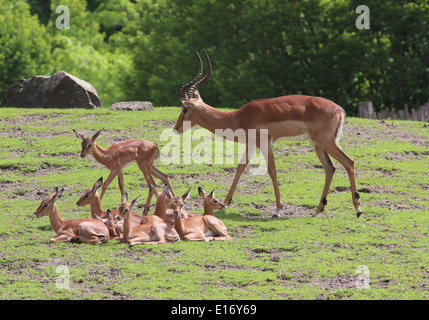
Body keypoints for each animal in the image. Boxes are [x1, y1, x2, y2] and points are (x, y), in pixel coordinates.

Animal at [175, 50, 362, 218]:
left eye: (184, 109)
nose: (176, 128)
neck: (238, 118)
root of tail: (339, 109)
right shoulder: (251, 144)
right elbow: (240, 167)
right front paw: (226, 202)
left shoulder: (266, 143)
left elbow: (272, 170)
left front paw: (277, 210)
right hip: (317, 144)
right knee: (330, 168)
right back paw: (317, 210)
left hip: (327, 142)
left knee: (349, 162)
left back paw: (357, 210)